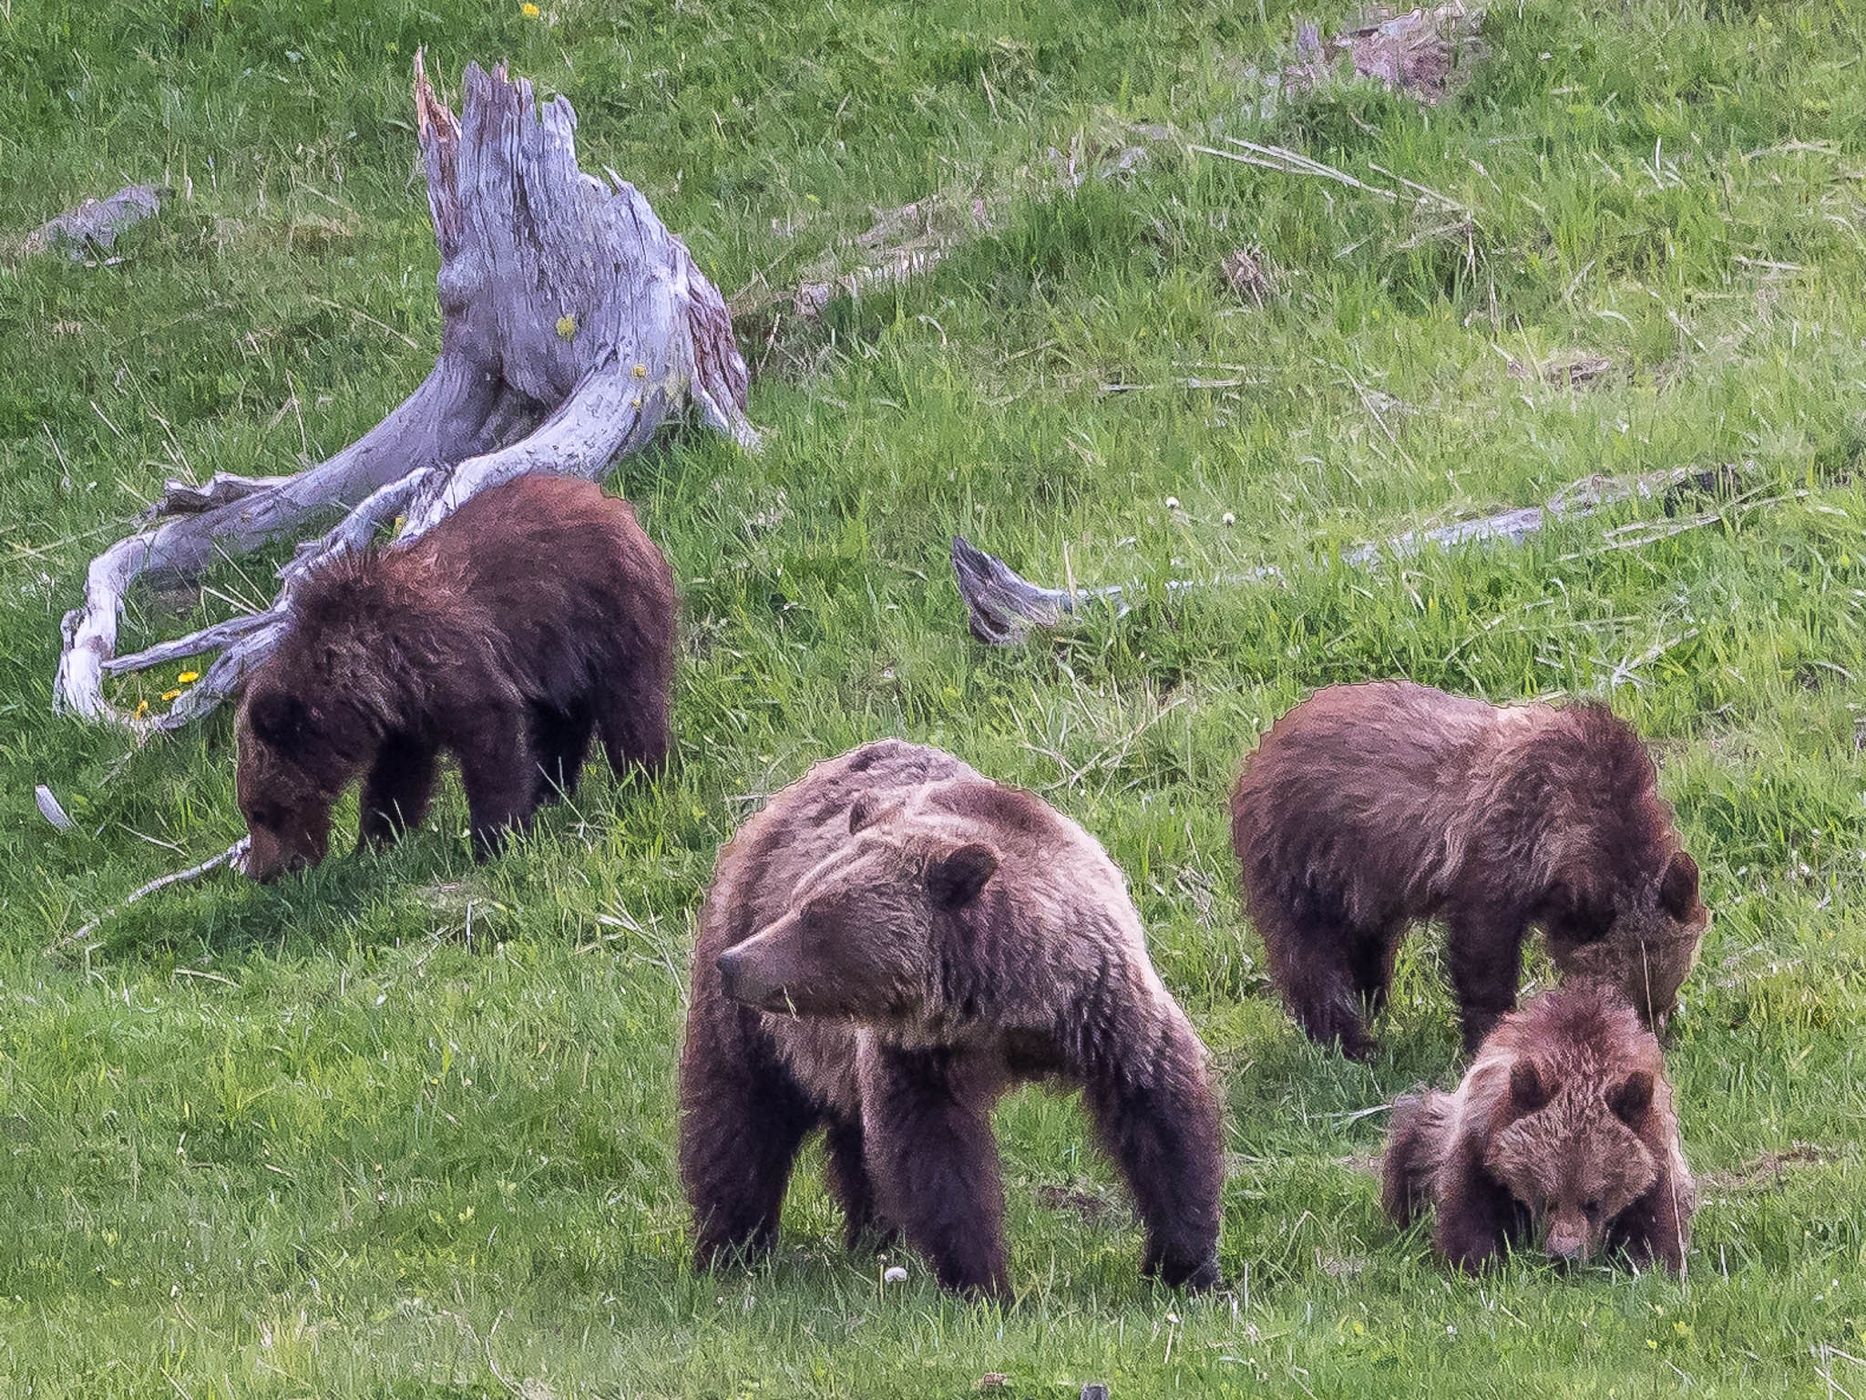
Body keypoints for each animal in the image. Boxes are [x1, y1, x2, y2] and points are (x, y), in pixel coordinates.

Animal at [235, 473, 675, 880]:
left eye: (262, 811)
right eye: (251, 809)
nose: (262, 873)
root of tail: (615, 505)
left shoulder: (445, 661)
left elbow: (491, 740)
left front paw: (494, 838)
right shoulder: (407, 716)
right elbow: (397, 778)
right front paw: (374, 844)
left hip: (604, 611)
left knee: (631, 703)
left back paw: (640, 777)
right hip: (556, 653)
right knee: (561, 722)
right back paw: (550, 791)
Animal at [677, 739, 1224, 1299]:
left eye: (814, 916)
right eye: (797, 901)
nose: (736, 963)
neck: (1005, 1006)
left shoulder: (1100, 1007)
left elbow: (1160, 1113)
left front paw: (1186, 1265)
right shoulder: (919, 1052)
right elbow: (936, 1155)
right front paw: (983, 1281)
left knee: (842, 1134)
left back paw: (874, 1238)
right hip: (754, 1011)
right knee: (739, 1116)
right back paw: (733, 1249)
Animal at [1228, 679, 1708, 1058]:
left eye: (1661, 1000)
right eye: (1622, 998)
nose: (1652, 1042)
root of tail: (1264, 743)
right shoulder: (1494, 861)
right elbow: (1481, 956)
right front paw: (1489, 1031)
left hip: (1364, 878)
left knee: (1368, 941)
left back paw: (1372, 999)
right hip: (1301, 858)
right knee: (1308, 953)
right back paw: (1351, 1040)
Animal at [1380, 981, 1695, 1273]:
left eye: (1593, 1202)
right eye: (1547, 1198)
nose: (1564, 1256)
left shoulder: (1656, 1145)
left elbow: (1658, 1215)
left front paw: (1652, 1261)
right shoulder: (1482, 1134)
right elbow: (1469, 1205)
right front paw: (1473, 1261)